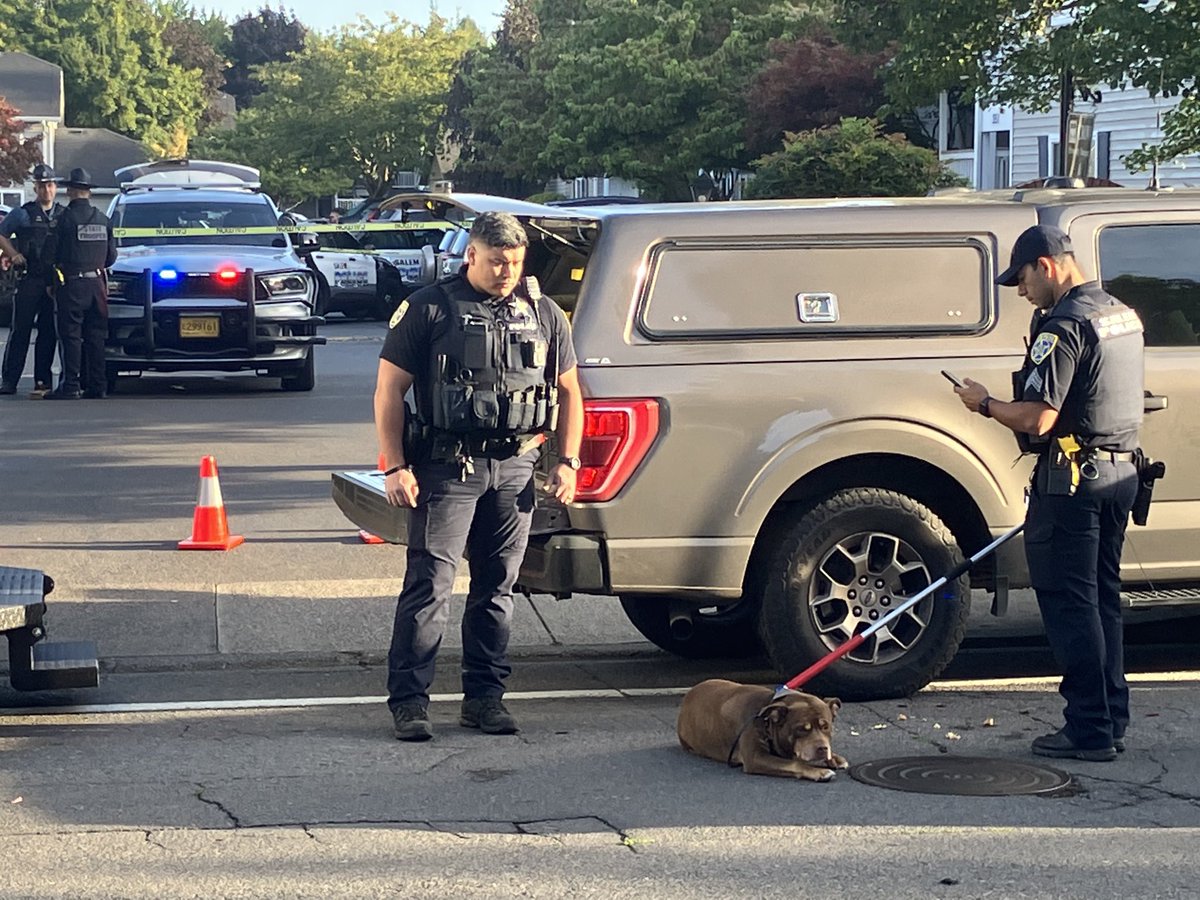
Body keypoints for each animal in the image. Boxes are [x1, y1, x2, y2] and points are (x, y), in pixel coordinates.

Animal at [676, 676, 854, 782]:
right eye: (802, 729)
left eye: (826, 727)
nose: (822, 749)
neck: (768, 722)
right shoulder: (756, 757)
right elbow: (793, 764)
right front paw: (820, 772)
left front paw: (835, 758)